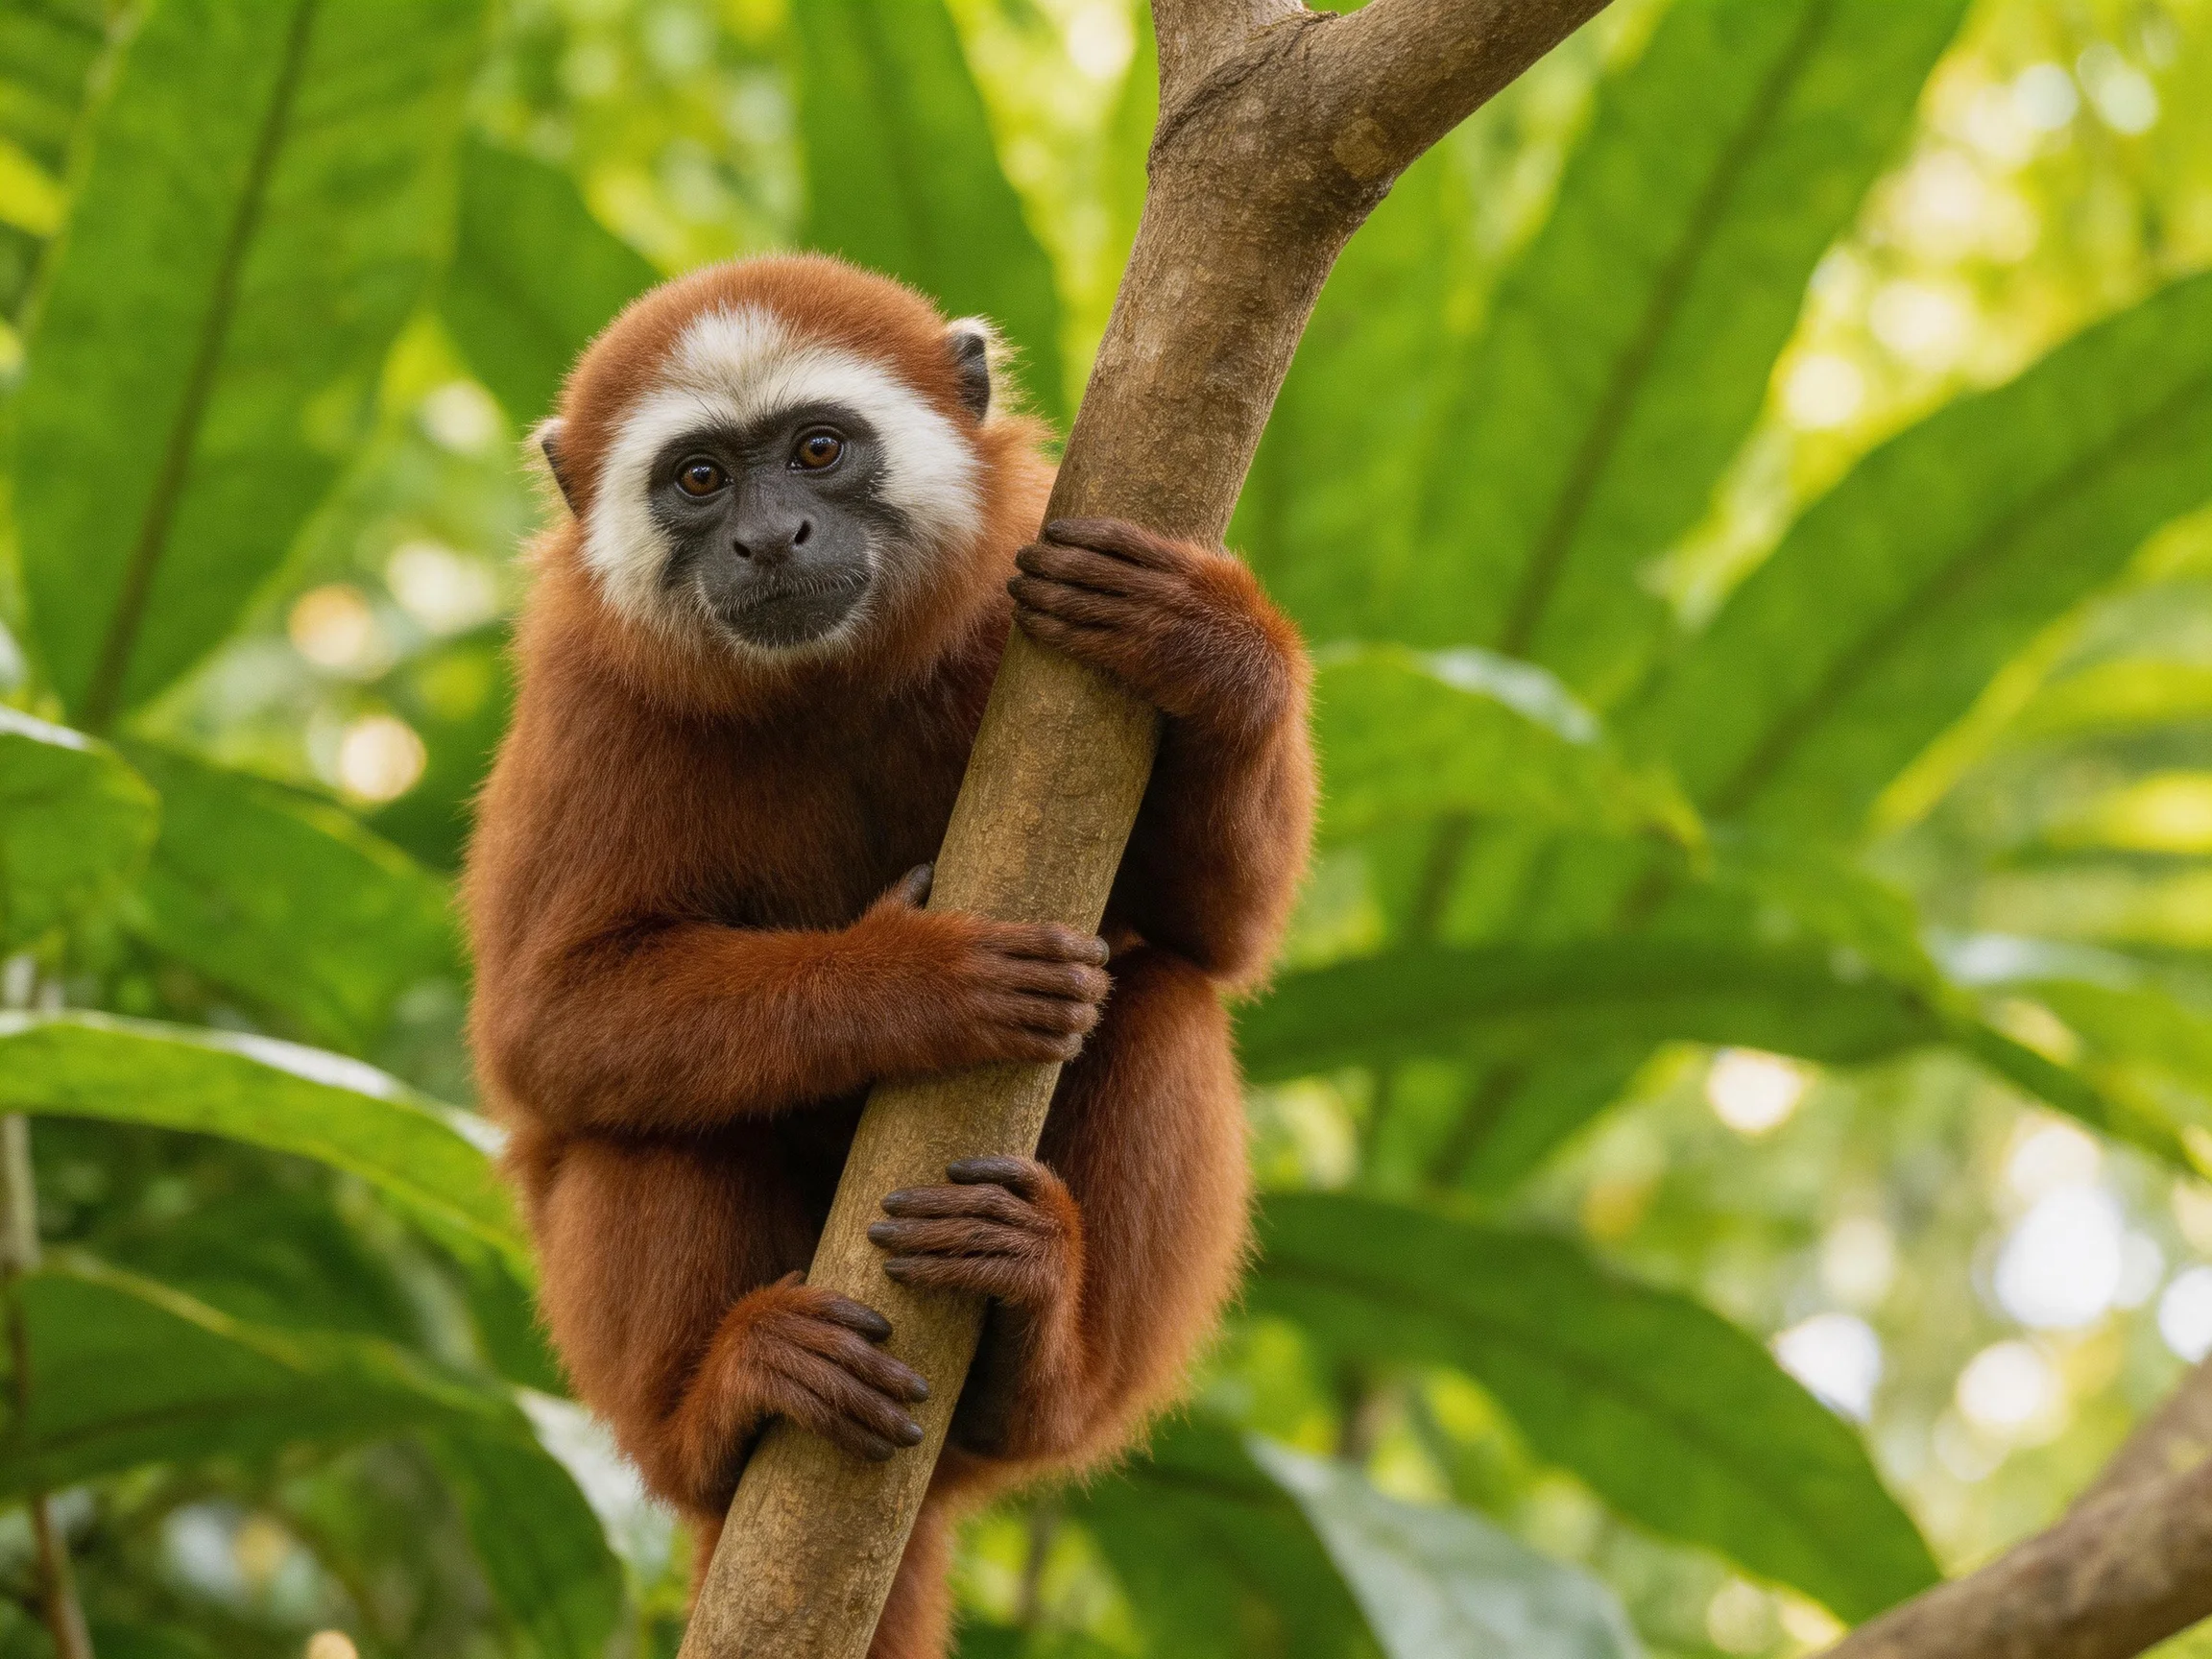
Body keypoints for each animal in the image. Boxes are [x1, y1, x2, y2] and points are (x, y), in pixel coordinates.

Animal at [463, 254, 1313, 1659]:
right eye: (701, 479)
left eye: (818, 451)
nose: (769, 539)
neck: (832, 684)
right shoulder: (591, 697)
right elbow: (548, 1028)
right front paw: (920, 985)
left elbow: (1217, 933)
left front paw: (1208, 647)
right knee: (642, 1125)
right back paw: (727, 1406)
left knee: (1167, 1003)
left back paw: (1033, 1353)